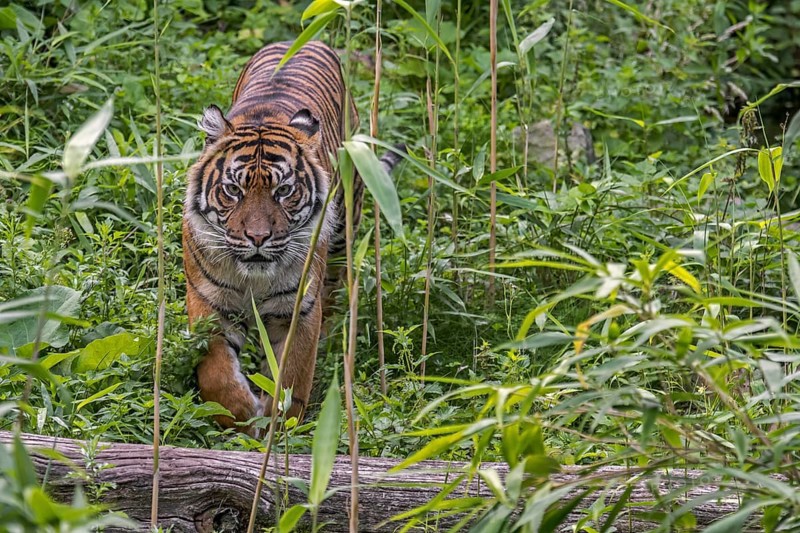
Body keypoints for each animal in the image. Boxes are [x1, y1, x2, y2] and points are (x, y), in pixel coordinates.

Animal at [182, 40, 402, 434]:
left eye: (283, 190)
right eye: (233, 190)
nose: (257, 237)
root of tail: (303, 40)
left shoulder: (298, 307)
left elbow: (292, 376)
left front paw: (279, 426)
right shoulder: (208, 301)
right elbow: (216, 374)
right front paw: (241, 418)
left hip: (345, 226)